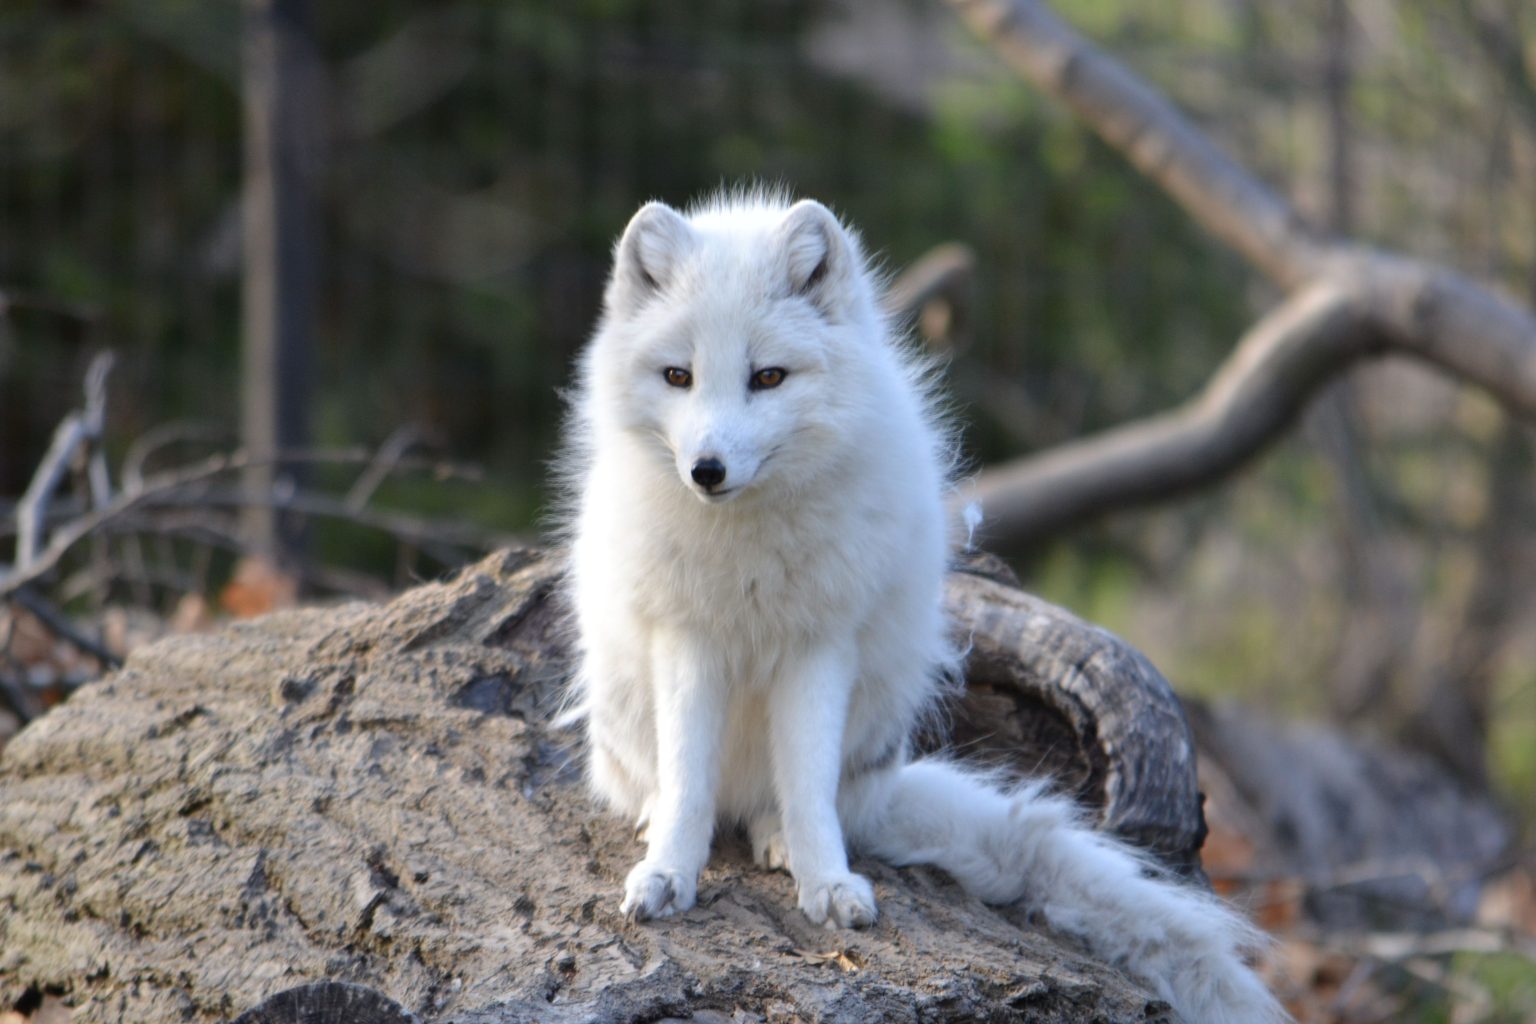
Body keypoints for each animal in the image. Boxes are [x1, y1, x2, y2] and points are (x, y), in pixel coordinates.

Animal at [562, 194, 1284, 1024]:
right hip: (624, 702)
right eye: (678, 375)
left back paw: (780, 840)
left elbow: (808, 785)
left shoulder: (822, 645)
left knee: (801, 800)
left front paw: (826, 881)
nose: (706, 470)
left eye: (768, 376)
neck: (747, 547)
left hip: (875, 715)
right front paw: (668, 874)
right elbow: (687, 781)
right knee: (678, 791)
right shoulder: (687, 639)